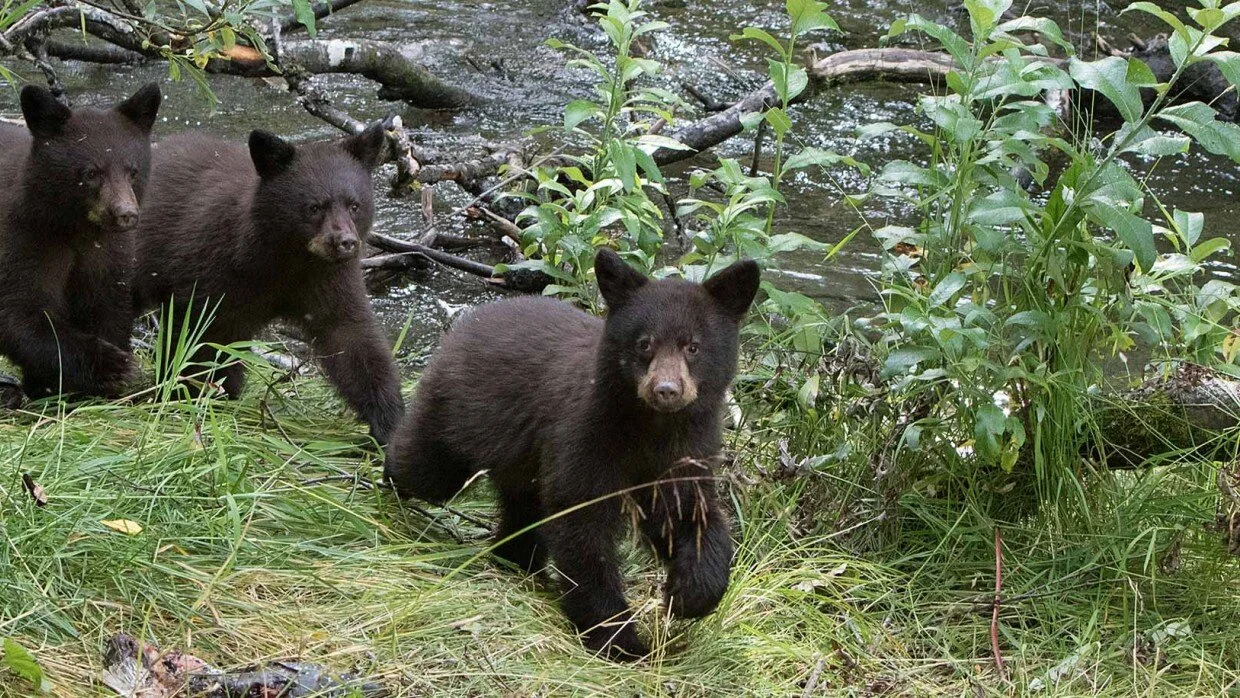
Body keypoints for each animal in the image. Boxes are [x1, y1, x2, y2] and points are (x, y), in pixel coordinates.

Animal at [0, 83, 161, 400]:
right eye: (91, 172)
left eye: (133, 171)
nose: (126, 214)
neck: (79, 230)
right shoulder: (26, 238)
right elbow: (21, 313)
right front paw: (112, 366)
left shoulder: (110, 254)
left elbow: (109, 307)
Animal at [131, 124, 405, 444]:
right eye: (314, 207)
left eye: (354, 205)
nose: (345, 242)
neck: (287, 259)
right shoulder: (210, 270)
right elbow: (196, 333)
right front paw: (186, 394)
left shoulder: (328, 281)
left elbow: (352, 338)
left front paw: (389, 421)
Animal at [384, 248, 761, 660]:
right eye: (644, 343)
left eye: (693, 346)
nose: (666, 390)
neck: (649, 428)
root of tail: (469, 320)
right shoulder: (586, 437)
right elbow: (582, 528)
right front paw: (619, 639)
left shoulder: (686, 451)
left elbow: (690, 513)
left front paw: (690, 593)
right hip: (459, 415)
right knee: (425, 467)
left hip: (521, 461)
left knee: (523, 508)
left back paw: (515, 559)